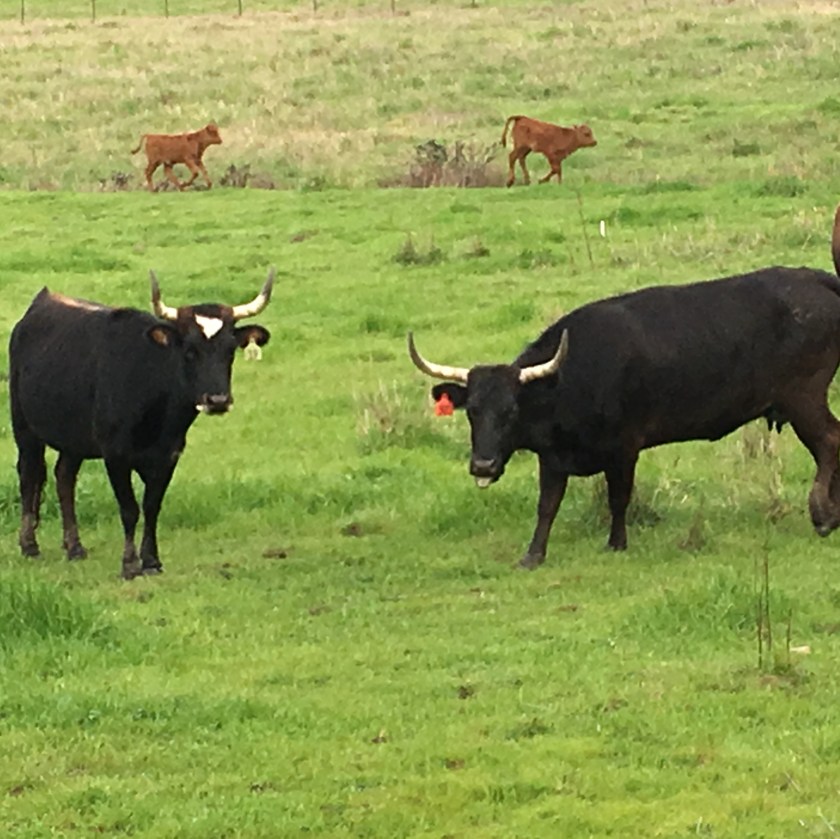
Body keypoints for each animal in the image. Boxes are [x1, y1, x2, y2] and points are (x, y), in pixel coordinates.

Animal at [8, 271, 273, 579]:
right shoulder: (115, 456)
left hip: (74, 438)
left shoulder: (168, 456)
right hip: (24, 427)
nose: (217, 400)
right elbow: (130, 509)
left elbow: (151, 506)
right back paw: (29, 545)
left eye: (230, 350)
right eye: (189, 351)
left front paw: (152, 560)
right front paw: (130, 563)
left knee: (64, 477)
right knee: (29, 475)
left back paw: (74, 547)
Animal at [408, 205, 840, 569]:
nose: (483, 465)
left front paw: (617, 542)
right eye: (472, 412)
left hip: (804, 397)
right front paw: (533, 555)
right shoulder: (553, 456)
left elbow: (619, 497)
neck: (572, 376)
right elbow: (547, 505)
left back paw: (824, 515)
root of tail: (815, 278)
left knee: (830, 442)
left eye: (511, 410)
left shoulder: (624, 446)